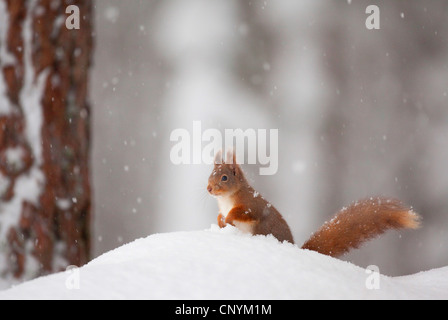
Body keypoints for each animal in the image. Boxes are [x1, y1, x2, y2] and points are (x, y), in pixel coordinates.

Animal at [208, 150, 422, 258]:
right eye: (211, 174)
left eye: (224, 177)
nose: (209, 188)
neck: (226, 200)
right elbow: (220, 217)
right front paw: (220, 220)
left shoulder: (252, 206)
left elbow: (244, 213)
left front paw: (229, 217)